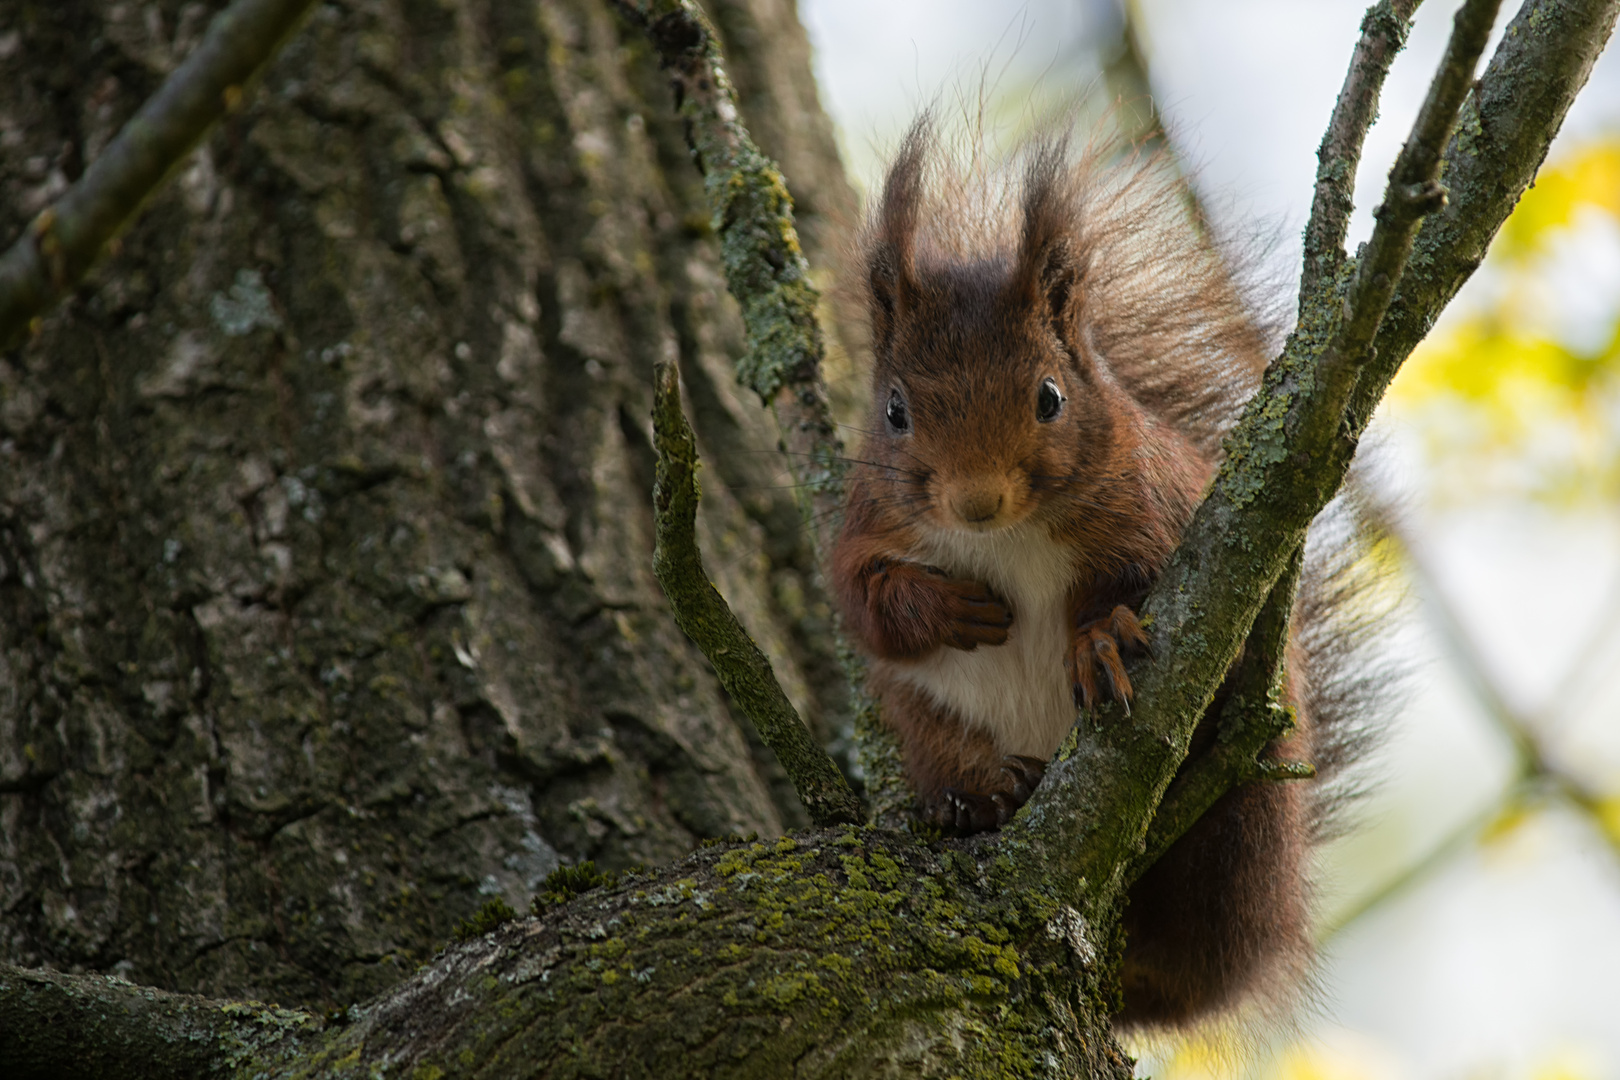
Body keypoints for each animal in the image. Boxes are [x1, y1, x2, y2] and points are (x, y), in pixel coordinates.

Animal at [829, 127, 1360, 1029]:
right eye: (894, 411)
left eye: (1049, 396)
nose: (975, 501)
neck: (1006, 540)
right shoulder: (863, 530)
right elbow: (865, 607)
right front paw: (944, 607)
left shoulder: (1156, 511)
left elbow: (1146, 583)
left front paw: (1099, 637)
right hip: (926, 723)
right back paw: (982, 796)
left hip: (1247, 812)